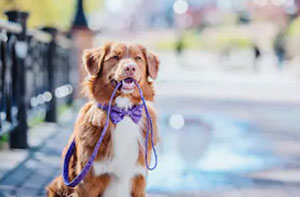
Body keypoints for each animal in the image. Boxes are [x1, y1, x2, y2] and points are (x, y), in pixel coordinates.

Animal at [47, 42, 159, 196]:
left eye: (138, 58)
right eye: (115, 57)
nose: (130, 68)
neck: (123, 113)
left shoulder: (139, 181)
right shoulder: (87, 183)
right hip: (57, 184)